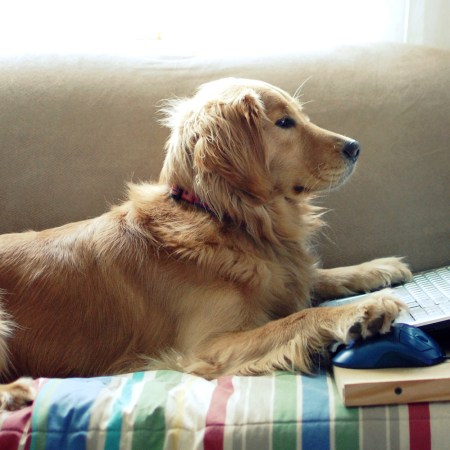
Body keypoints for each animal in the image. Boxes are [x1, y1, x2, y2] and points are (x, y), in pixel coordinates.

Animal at [0, 78, 412, 412]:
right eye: (284, 123)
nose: (356, 147)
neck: (224, 218)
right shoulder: (209, 346)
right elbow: (299, 317)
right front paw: (362, 310)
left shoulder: (285, 275)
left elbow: (318, 276)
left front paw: (379, 268)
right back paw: (12, 393)